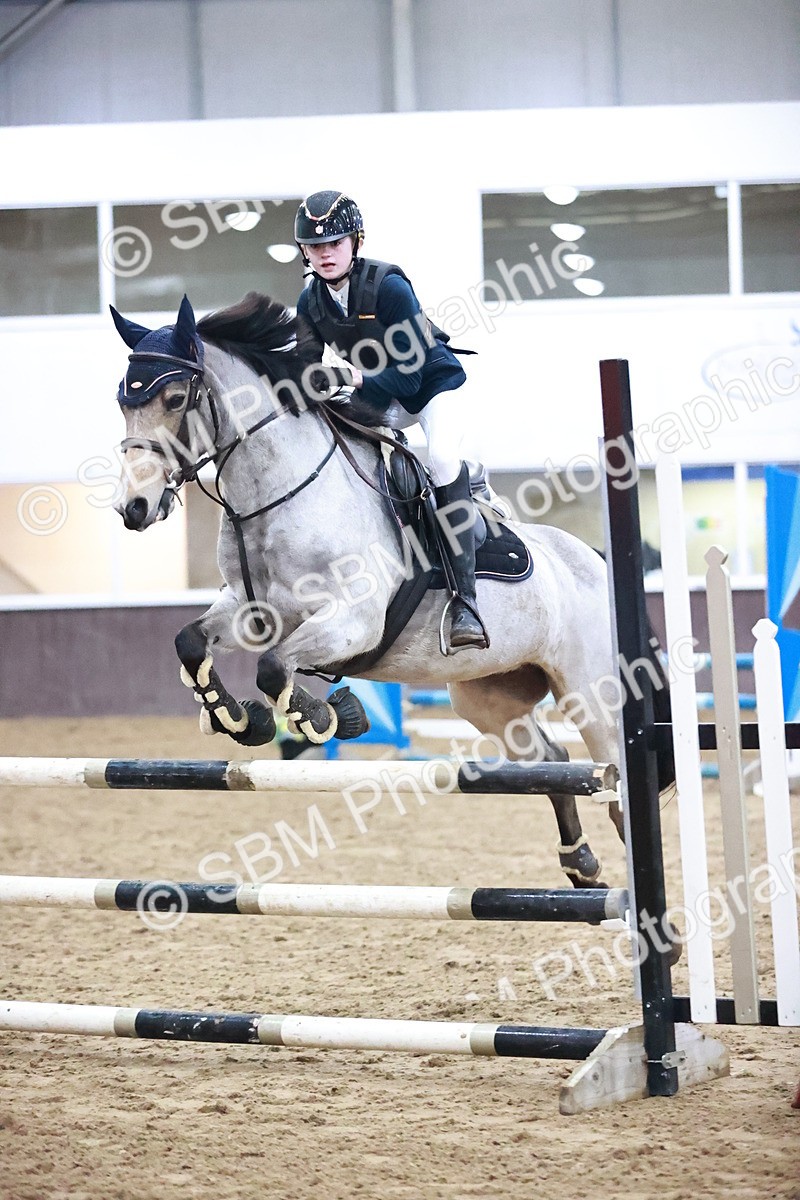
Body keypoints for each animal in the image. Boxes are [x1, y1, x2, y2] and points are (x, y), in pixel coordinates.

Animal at [110, 292, 674, 889]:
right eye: (123, 402)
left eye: (175, 398)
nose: (134, 508)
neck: (276, 494)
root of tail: (594, 559)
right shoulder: (249, 608)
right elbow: (193, 642)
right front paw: (238, 718)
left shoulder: (352, 620)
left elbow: (274, 667)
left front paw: (330, 715)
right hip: (489, 695)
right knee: (551, 760)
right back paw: (581, 865)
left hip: (594, 693)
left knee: (616, 786)